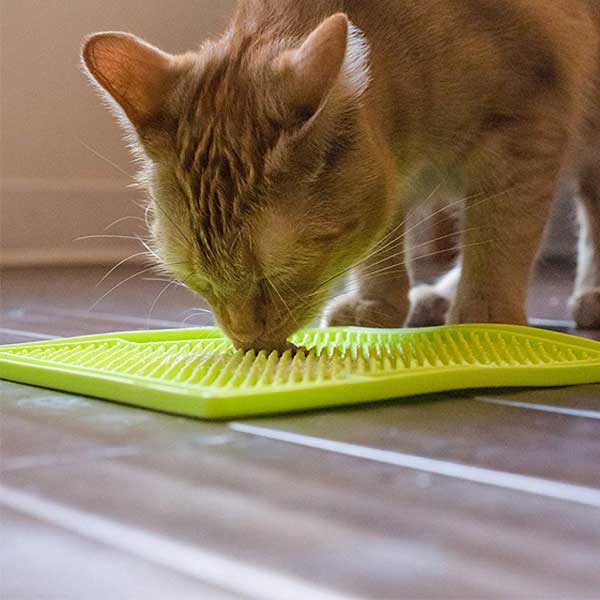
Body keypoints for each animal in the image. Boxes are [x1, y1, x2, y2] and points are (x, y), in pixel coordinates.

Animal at [82, 0, 600, 352]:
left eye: (279, 273)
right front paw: (380, 303)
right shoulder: (393, 176)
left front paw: (486, 317)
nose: (247, 338)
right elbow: (381, 244)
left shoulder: (525, 134)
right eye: (198, 279)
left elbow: (500, 238)